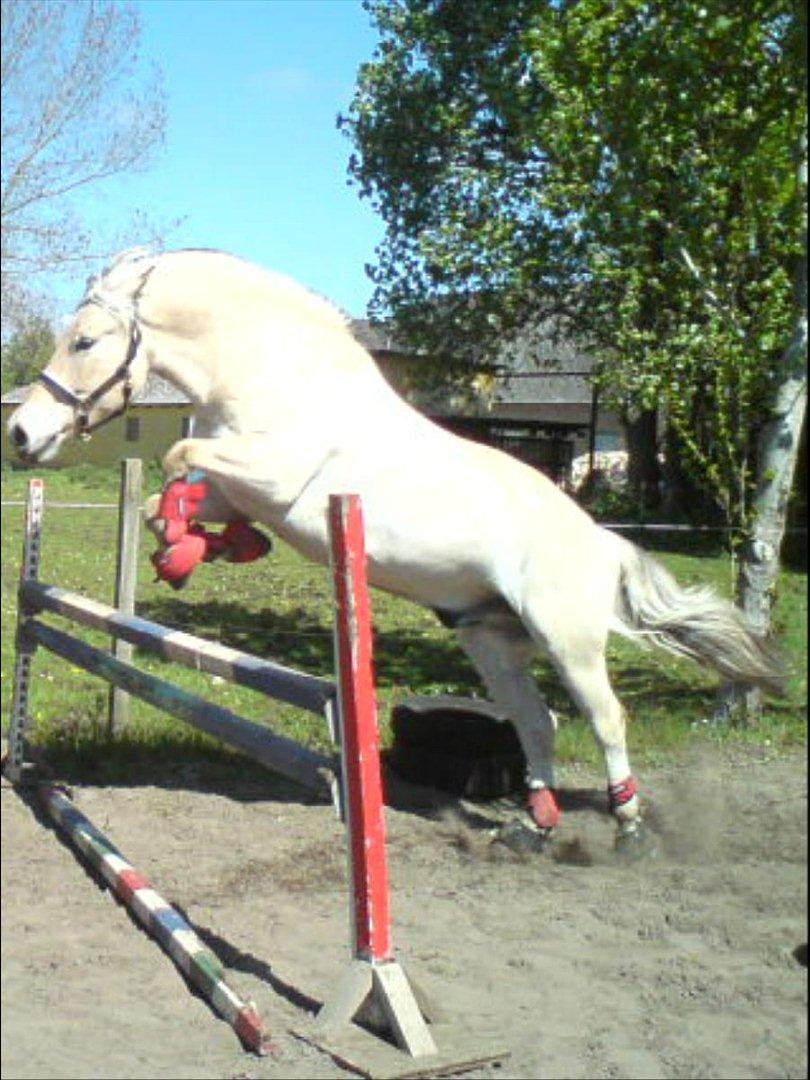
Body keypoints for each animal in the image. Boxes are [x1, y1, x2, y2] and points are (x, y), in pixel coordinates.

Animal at [7, 248, 786, 846]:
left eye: (84, 342)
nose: (21, 433)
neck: (274, 376)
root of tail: (600, 539)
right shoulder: (238, 483)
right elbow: (178, 498)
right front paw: (191, 550)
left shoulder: (273, 476)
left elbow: (177, 458)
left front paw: (185, 550)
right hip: (489, 637)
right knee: (537, 720)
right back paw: (534, 824)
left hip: (566, 638)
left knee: (603, 717)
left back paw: (627, 825)